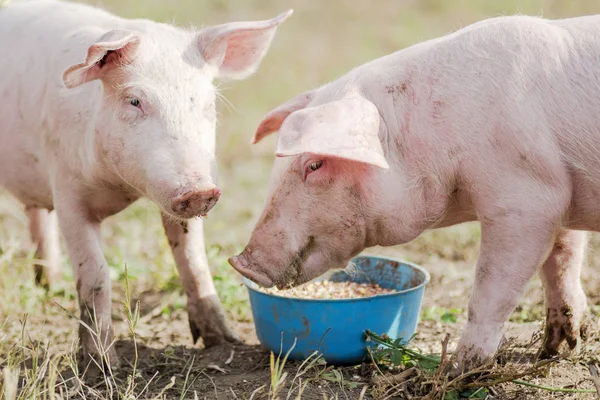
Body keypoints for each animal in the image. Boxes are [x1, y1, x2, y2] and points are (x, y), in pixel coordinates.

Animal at [0, 0, 292, 368]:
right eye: (135, 101)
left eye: (208, 103)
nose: (200, 191)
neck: (121, 188)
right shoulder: (67, 190)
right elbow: (95, 273)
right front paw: (103, 364)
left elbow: (193, 260)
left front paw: (224, 341)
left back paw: (50, 285)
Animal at [227, 14, 596, 374]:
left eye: (315, 164)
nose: (241, 262)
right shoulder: (559, 195)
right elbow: (562, 259)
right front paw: (556, 350)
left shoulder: (526, 199)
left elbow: (492, 288)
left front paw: (460, 370)